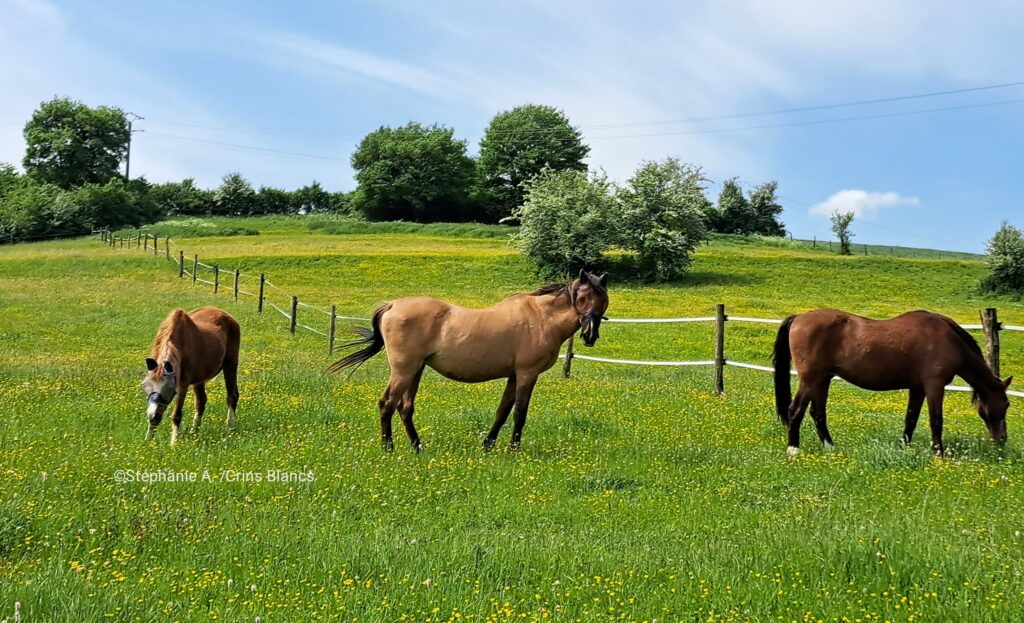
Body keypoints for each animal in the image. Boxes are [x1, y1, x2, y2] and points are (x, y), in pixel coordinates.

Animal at [142, 307, 241, 442]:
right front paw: (149, 439)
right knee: (201, 402)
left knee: (232, 396)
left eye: (169, 388)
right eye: (147, 386)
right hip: (200, 379)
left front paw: (174, 442)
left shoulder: (182, 385)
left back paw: (230, 427)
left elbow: (176, 415)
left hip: (230, 365)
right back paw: (194, 433)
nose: (153, 415)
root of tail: (227, 316)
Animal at [325, 270, 606, 450]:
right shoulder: (527, 374)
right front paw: (513, 449)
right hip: (403, 370)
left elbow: (502, 411)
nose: (590, 335)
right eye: (582, 298)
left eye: (603, 300)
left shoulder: (514, 375)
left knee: (404, 407)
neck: (541, 318)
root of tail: (393, 305)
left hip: (416, 370)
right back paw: (389, 447)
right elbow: (519, 413)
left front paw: (488, 445)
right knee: (387, 404)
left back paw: (417, 446)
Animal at [774, 307, 1007, 457]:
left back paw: (830, 448)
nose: (1002, 441)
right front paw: (938, 454)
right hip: (810, 379)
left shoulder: (917, 388)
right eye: (1006, 404)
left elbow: (911, 419)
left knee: (817, 413)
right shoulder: (934, 386)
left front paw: (905, 447)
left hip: (822, 380)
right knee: (795, 410)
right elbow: (936, 420)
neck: (946, 339)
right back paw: (793, 449)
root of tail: (798, 317)